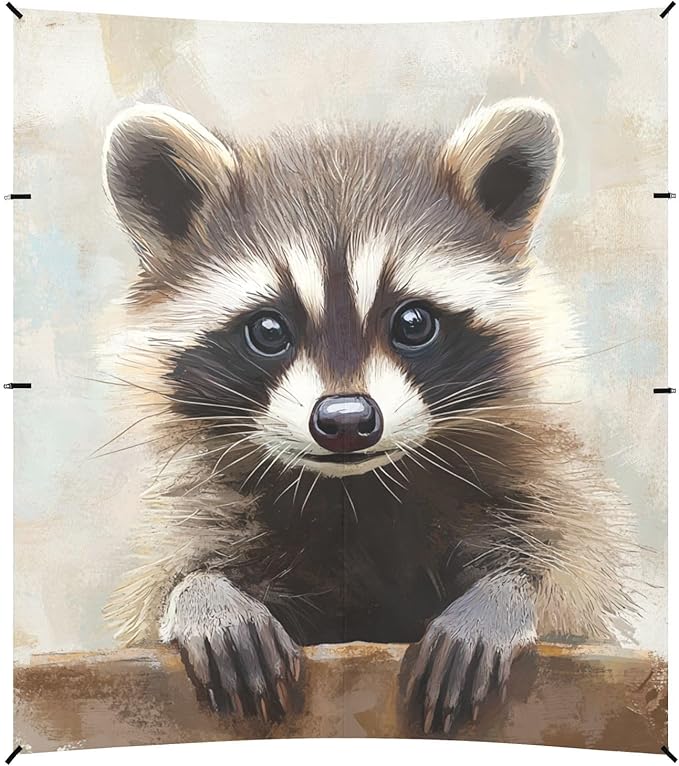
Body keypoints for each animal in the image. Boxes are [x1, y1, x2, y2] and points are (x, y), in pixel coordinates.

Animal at [101, 99, 635, 733]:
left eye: (413, 322)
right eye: (269, 330)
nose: (346, 420)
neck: (353, 490)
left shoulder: (532, 473)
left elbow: (579, 572)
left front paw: (506, 595)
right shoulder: (209, 498)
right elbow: (157, 586)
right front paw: (203, 595)